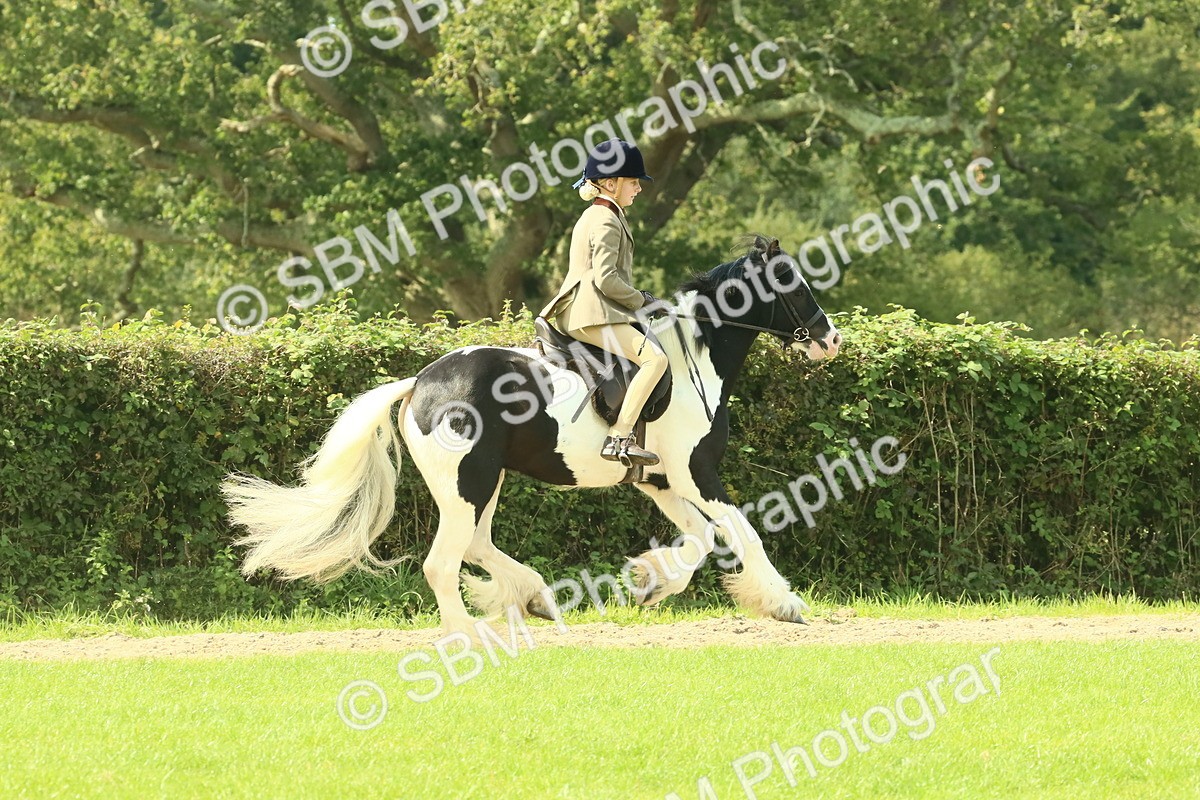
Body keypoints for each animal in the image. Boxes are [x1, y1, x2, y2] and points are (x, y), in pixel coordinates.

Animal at [222, 235, 842, 636]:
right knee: (443, 562)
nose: (831, 341)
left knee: (475, 545)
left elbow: (700, 539)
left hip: (483, 481)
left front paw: (648, 585)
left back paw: (535, 597)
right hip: (468, 482)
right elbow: (742, 532)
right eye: (790, 282)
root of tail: (420, 383)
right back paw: (471, 634)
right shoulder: (695, 471)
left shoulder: (662, 479)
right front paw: (784, 605)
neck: (696, 356)